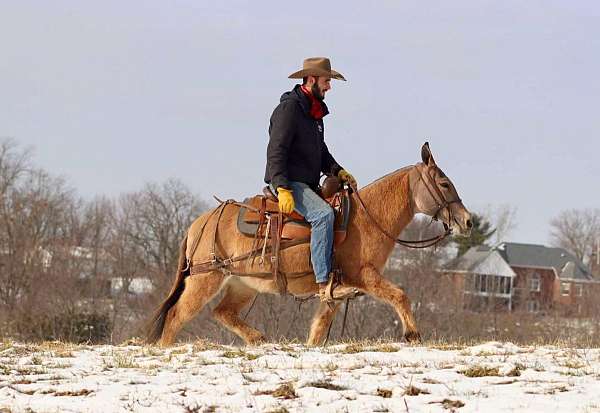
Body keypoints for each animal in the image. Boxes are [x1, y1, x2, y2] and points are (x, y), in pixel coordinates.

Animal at [146, 143, 474, 346]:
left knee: (222, 313)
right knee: (176, 317)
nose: (468, 221)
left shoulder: (333, 293)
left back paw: (258, 339)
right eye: (444, 184)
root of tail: (199, 223)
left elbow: (318, 330)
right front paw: (413, 334)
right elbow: (400, 295)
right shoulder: (363, 275)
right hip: (206, 279)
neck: (368, 218)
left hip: (243, 284)